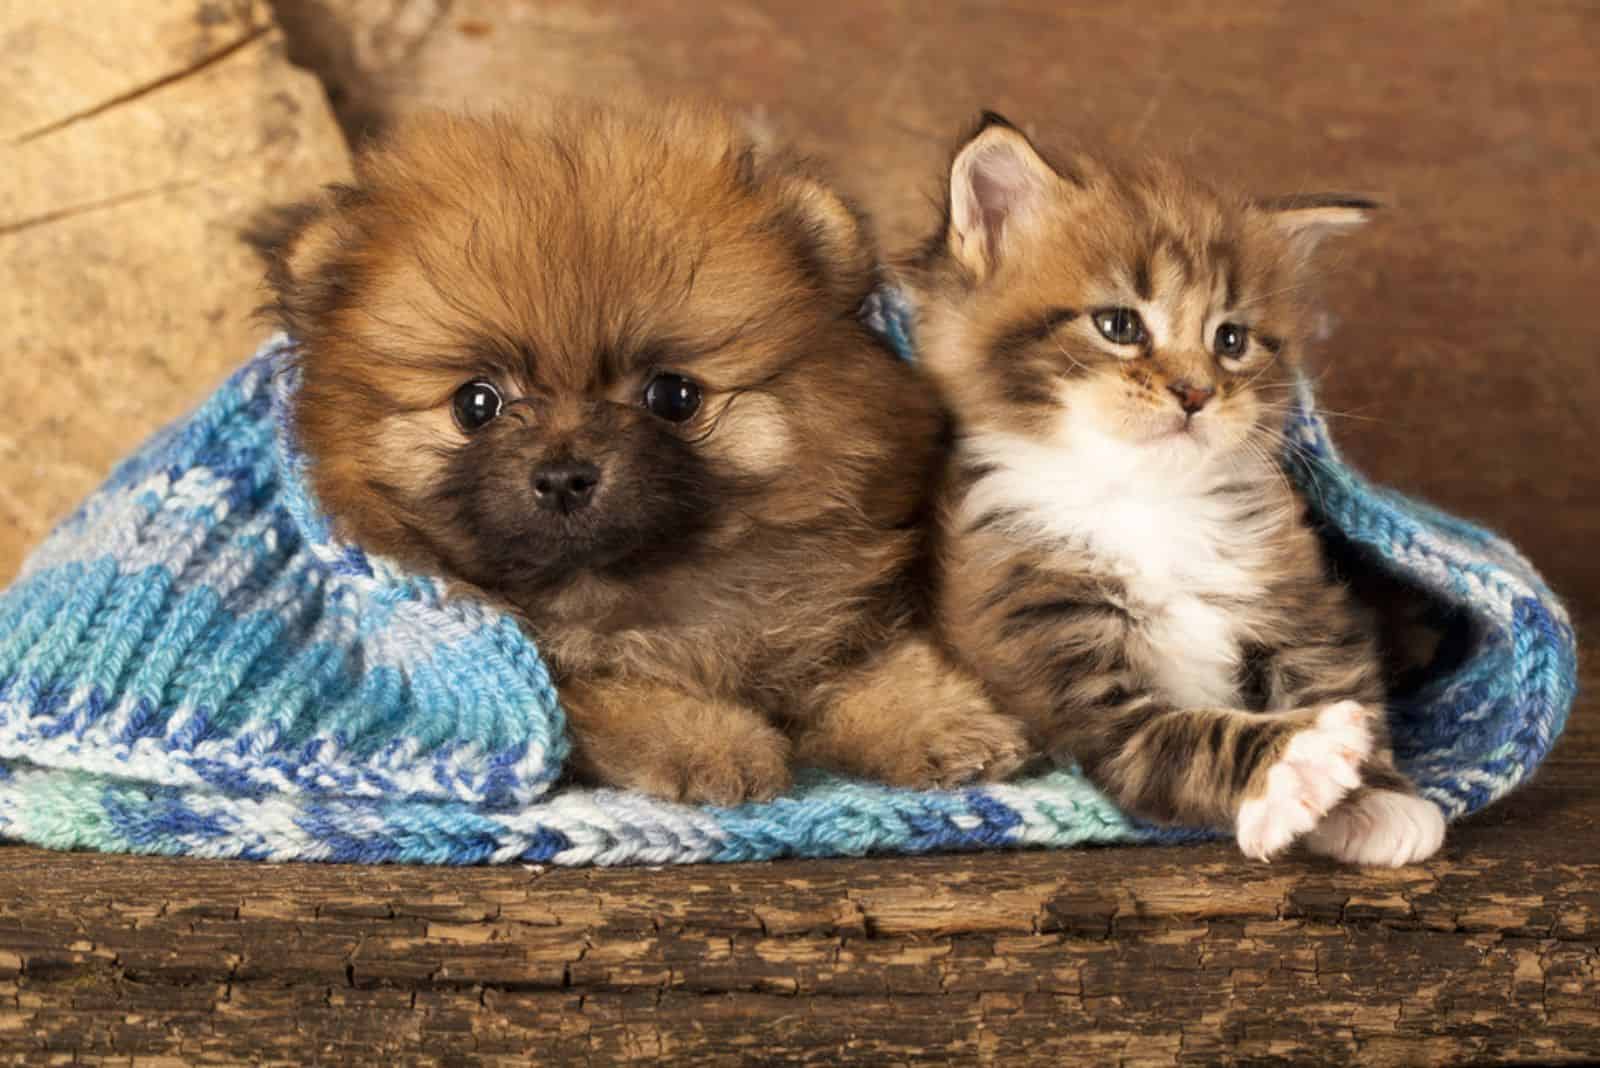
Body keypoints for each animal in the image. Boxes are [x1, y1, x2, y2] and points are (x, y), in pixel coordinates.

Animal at [249, 102, 1024, 799]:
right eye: (477, 403)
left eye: (673, 396)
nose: (563, 475)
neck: (638, 585)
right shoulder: (556, 677)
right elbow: (632, 693)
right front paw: (714, 744)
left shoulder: (834, 617)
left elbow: (887, 672)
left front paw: (946, 726)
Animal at [902, 115, 1452, 869]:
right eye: (1119, 326)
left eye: (1231, 339)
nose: (1195, 393)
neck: (1146, 502)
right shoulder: (1065, 668)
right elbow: (1193, 736)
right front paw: (1298, 762)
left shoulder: (1300, 598)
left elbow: (1338, 677)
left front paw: (1377, 796)